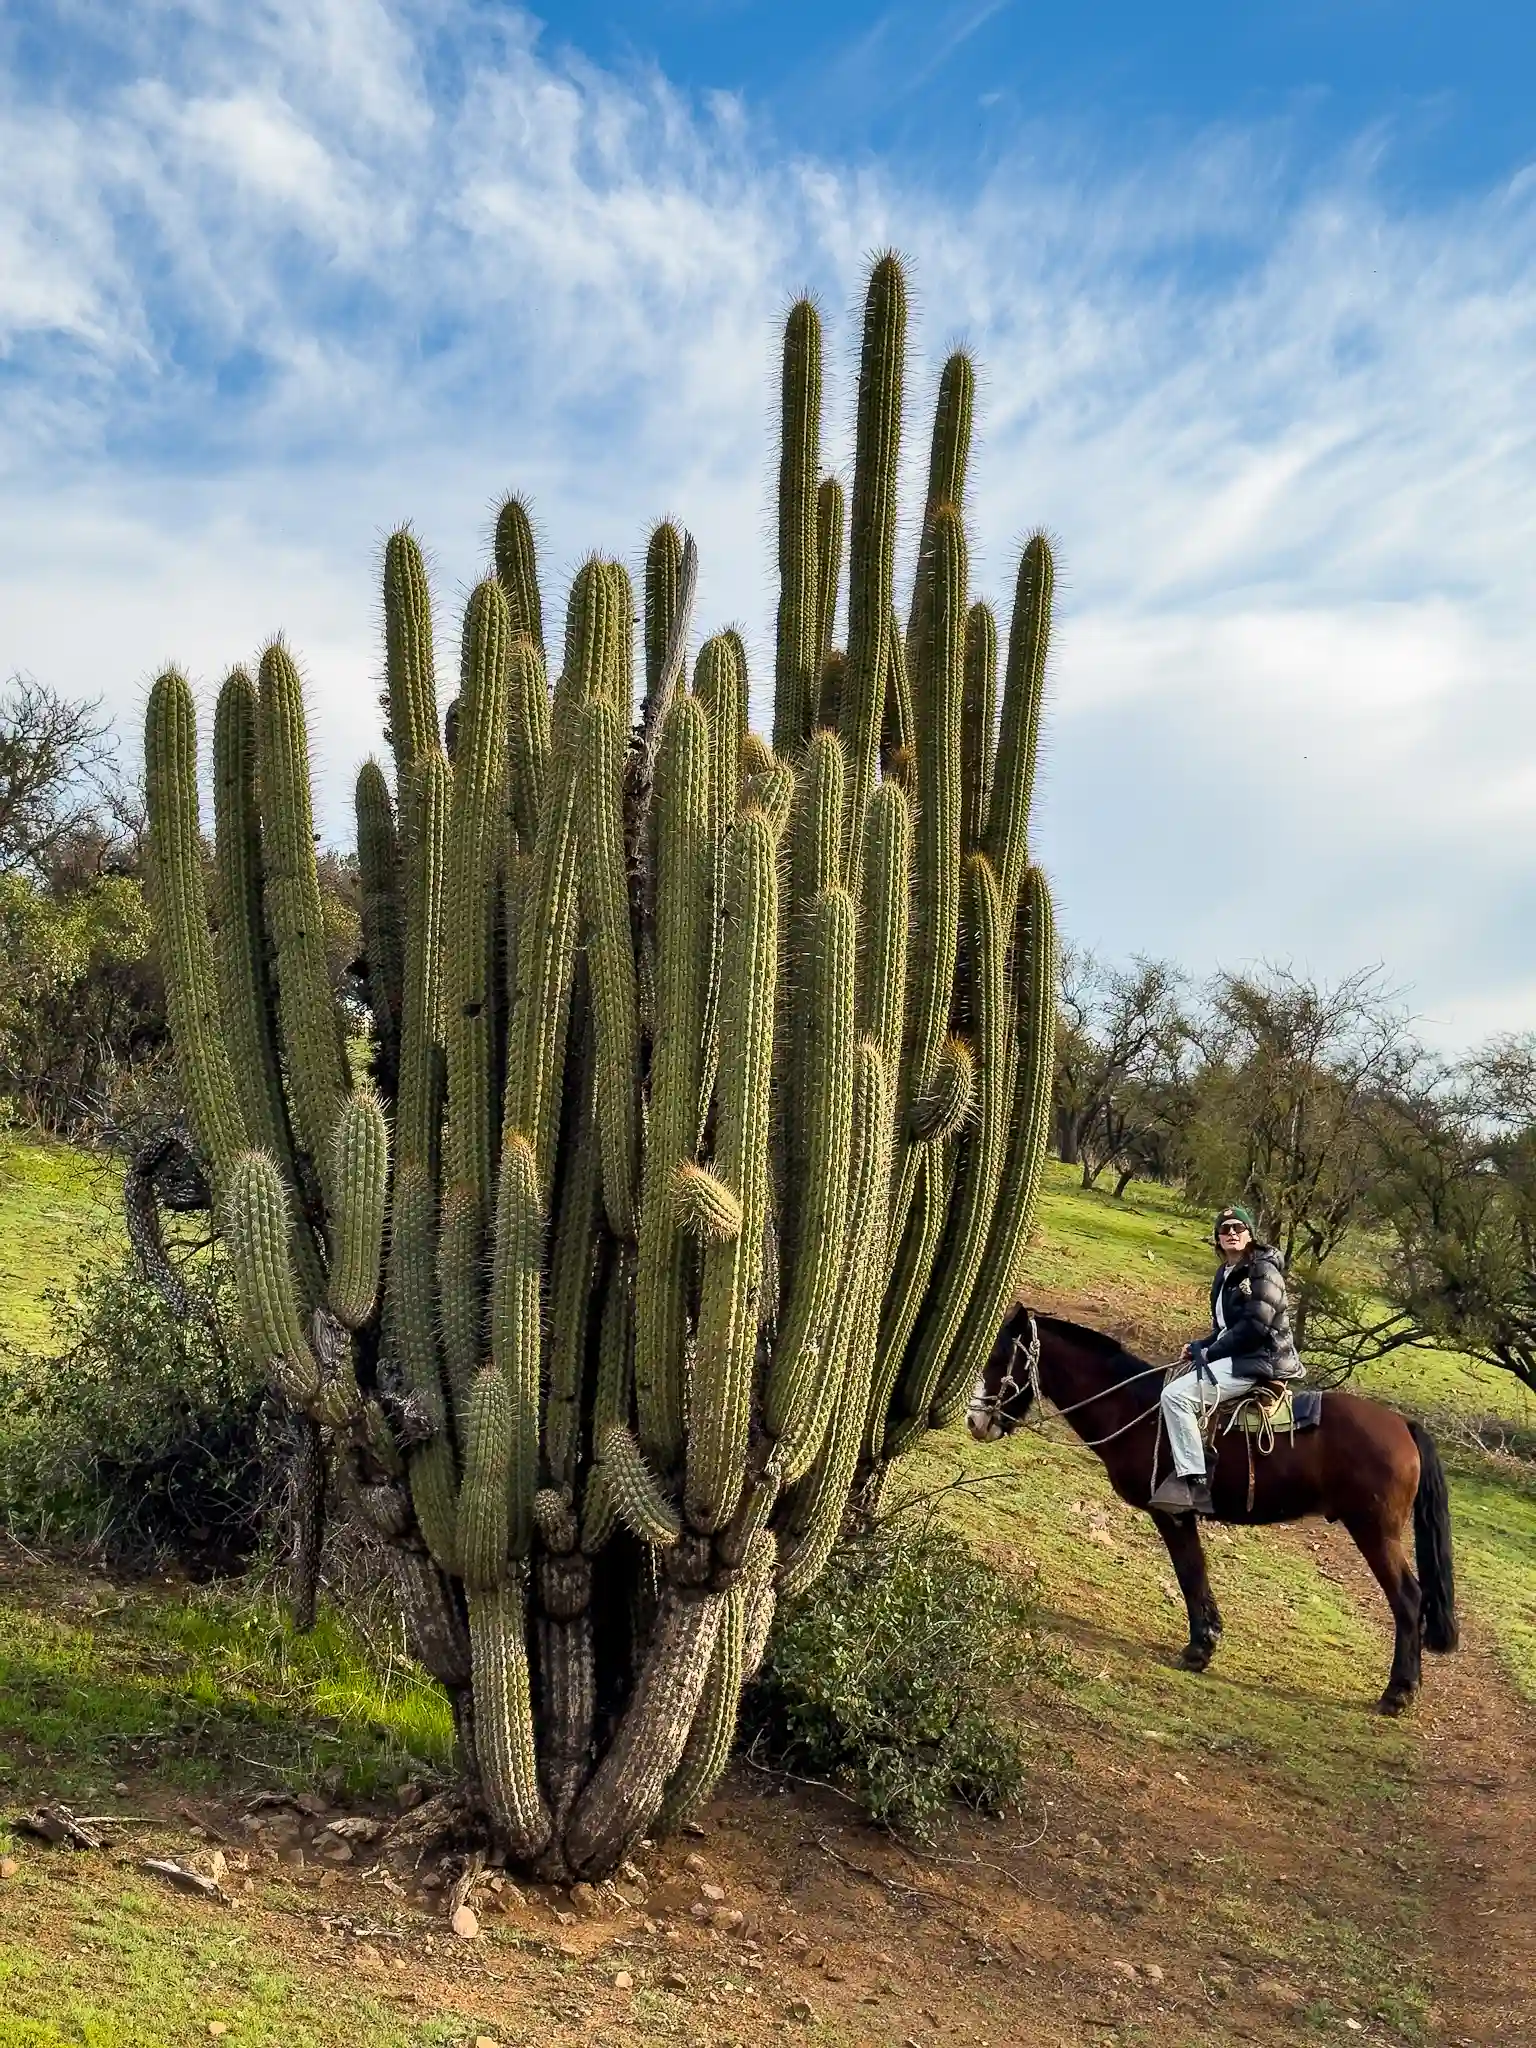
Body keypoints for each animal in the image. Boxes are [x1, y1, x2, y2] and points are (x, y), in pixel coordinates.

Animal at [966, 1310, 1458, 1712]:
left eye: (999, 1357)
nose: (975, 1421)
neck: (1139, 1410)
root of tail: (1403, 1426)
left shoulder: (1172, 1513)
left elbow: (1189, 1573)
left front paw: (1198, 1649)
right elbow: (1195, 1574)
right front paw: (1206, 1642)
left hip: (1375, 1531)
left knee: (1408, 1599)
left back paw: (1399, 1691)